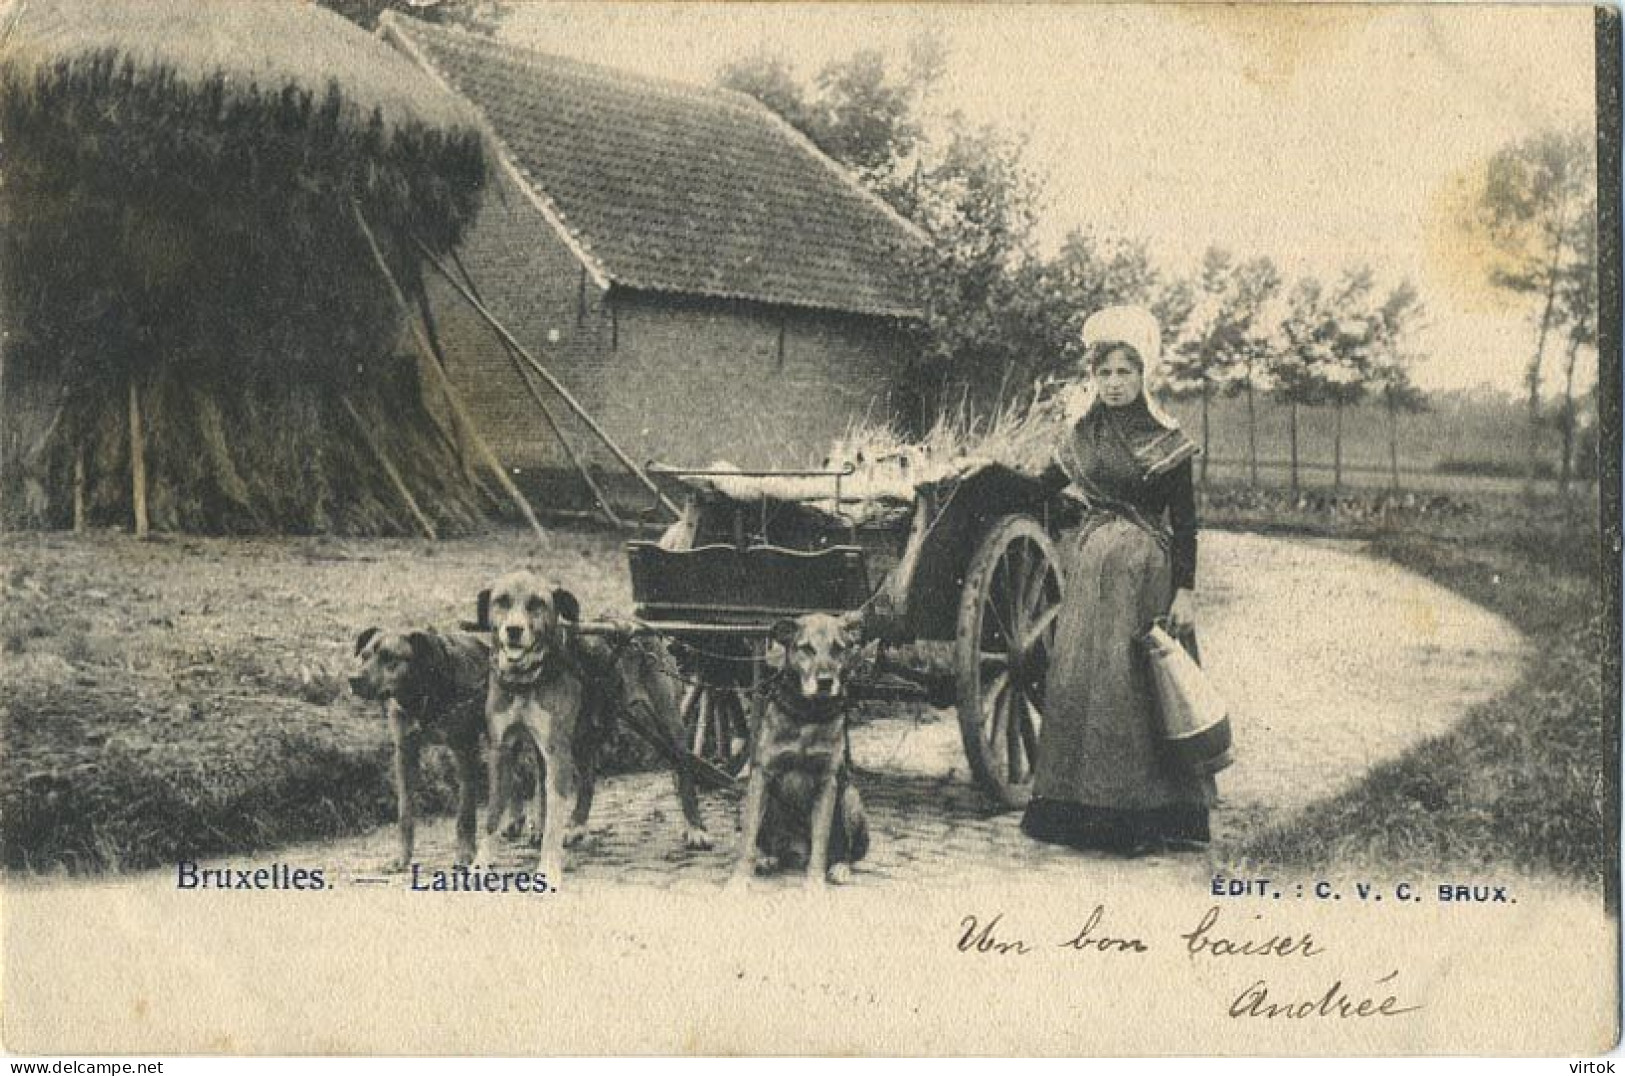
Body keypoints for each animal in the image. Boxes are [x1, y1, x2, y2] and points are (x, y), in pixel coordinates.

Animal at [351, 627, 533, 871]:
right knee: (515, 778)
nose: (353, 679)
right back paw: (514, 822)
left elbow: (465, 813)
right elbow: (405, 813)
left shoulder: (465, 751)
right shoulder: (405, 752)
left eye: (389, 657)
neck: (424, 694)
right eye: (364, 655)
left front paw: (465, 853)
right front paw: (403, 857)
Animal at [477, 568, 715, 890]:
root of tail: (636, 624)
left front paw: (548, 867)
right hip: (582, 736)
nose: (513, 630)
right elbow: (493, 815)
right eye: (501, 600)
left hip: (670, 724)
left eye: (537, 603)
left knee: (684, 770)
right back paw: (577, 824)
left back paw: (696, 828)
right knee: (588, 779)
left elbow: (553, 818)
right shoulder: (501, 750)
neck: (526, 680)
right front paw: (479, 865)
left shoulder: (557, 752)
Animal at [731, 614, 871, 890]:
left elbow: (821, 841)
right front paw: (739, 880)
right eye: (806, 648)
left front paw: (814, 884)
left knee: (845, 850)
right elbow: (748, 840)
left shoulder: (827, 783)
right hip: (748, 798)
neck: (808, 713)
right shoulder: (761, 776)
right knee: (767, 844)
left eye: (838, 648)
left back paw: (840, 867)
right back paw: (768, 858)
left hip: (850, 797)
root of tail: (795, 853)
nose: (826, 681)